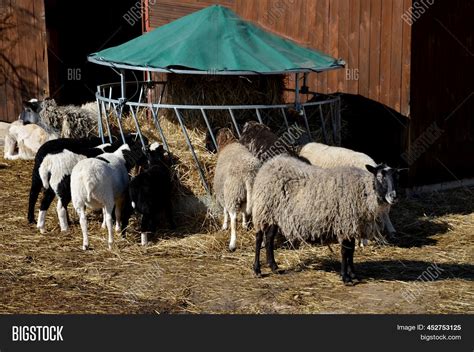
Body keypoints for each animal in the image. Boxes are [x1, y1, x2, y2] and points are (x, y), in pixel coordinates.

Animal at [250, 155, 402, 284]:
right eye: (380, 176)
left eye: (396, 177)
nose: (394, 196)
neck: (363, 189)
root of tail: (270, 163)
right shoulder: (344, 223)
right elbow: (345, 252)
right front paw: (346, 278)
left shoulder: (352, 225)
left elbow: (351, 251)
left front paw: (353, 275)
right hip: (263, 209)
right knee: (259, 238)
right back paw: (257, 270)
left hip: (274, 215)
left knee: (269, 239)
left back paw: (274, 267)